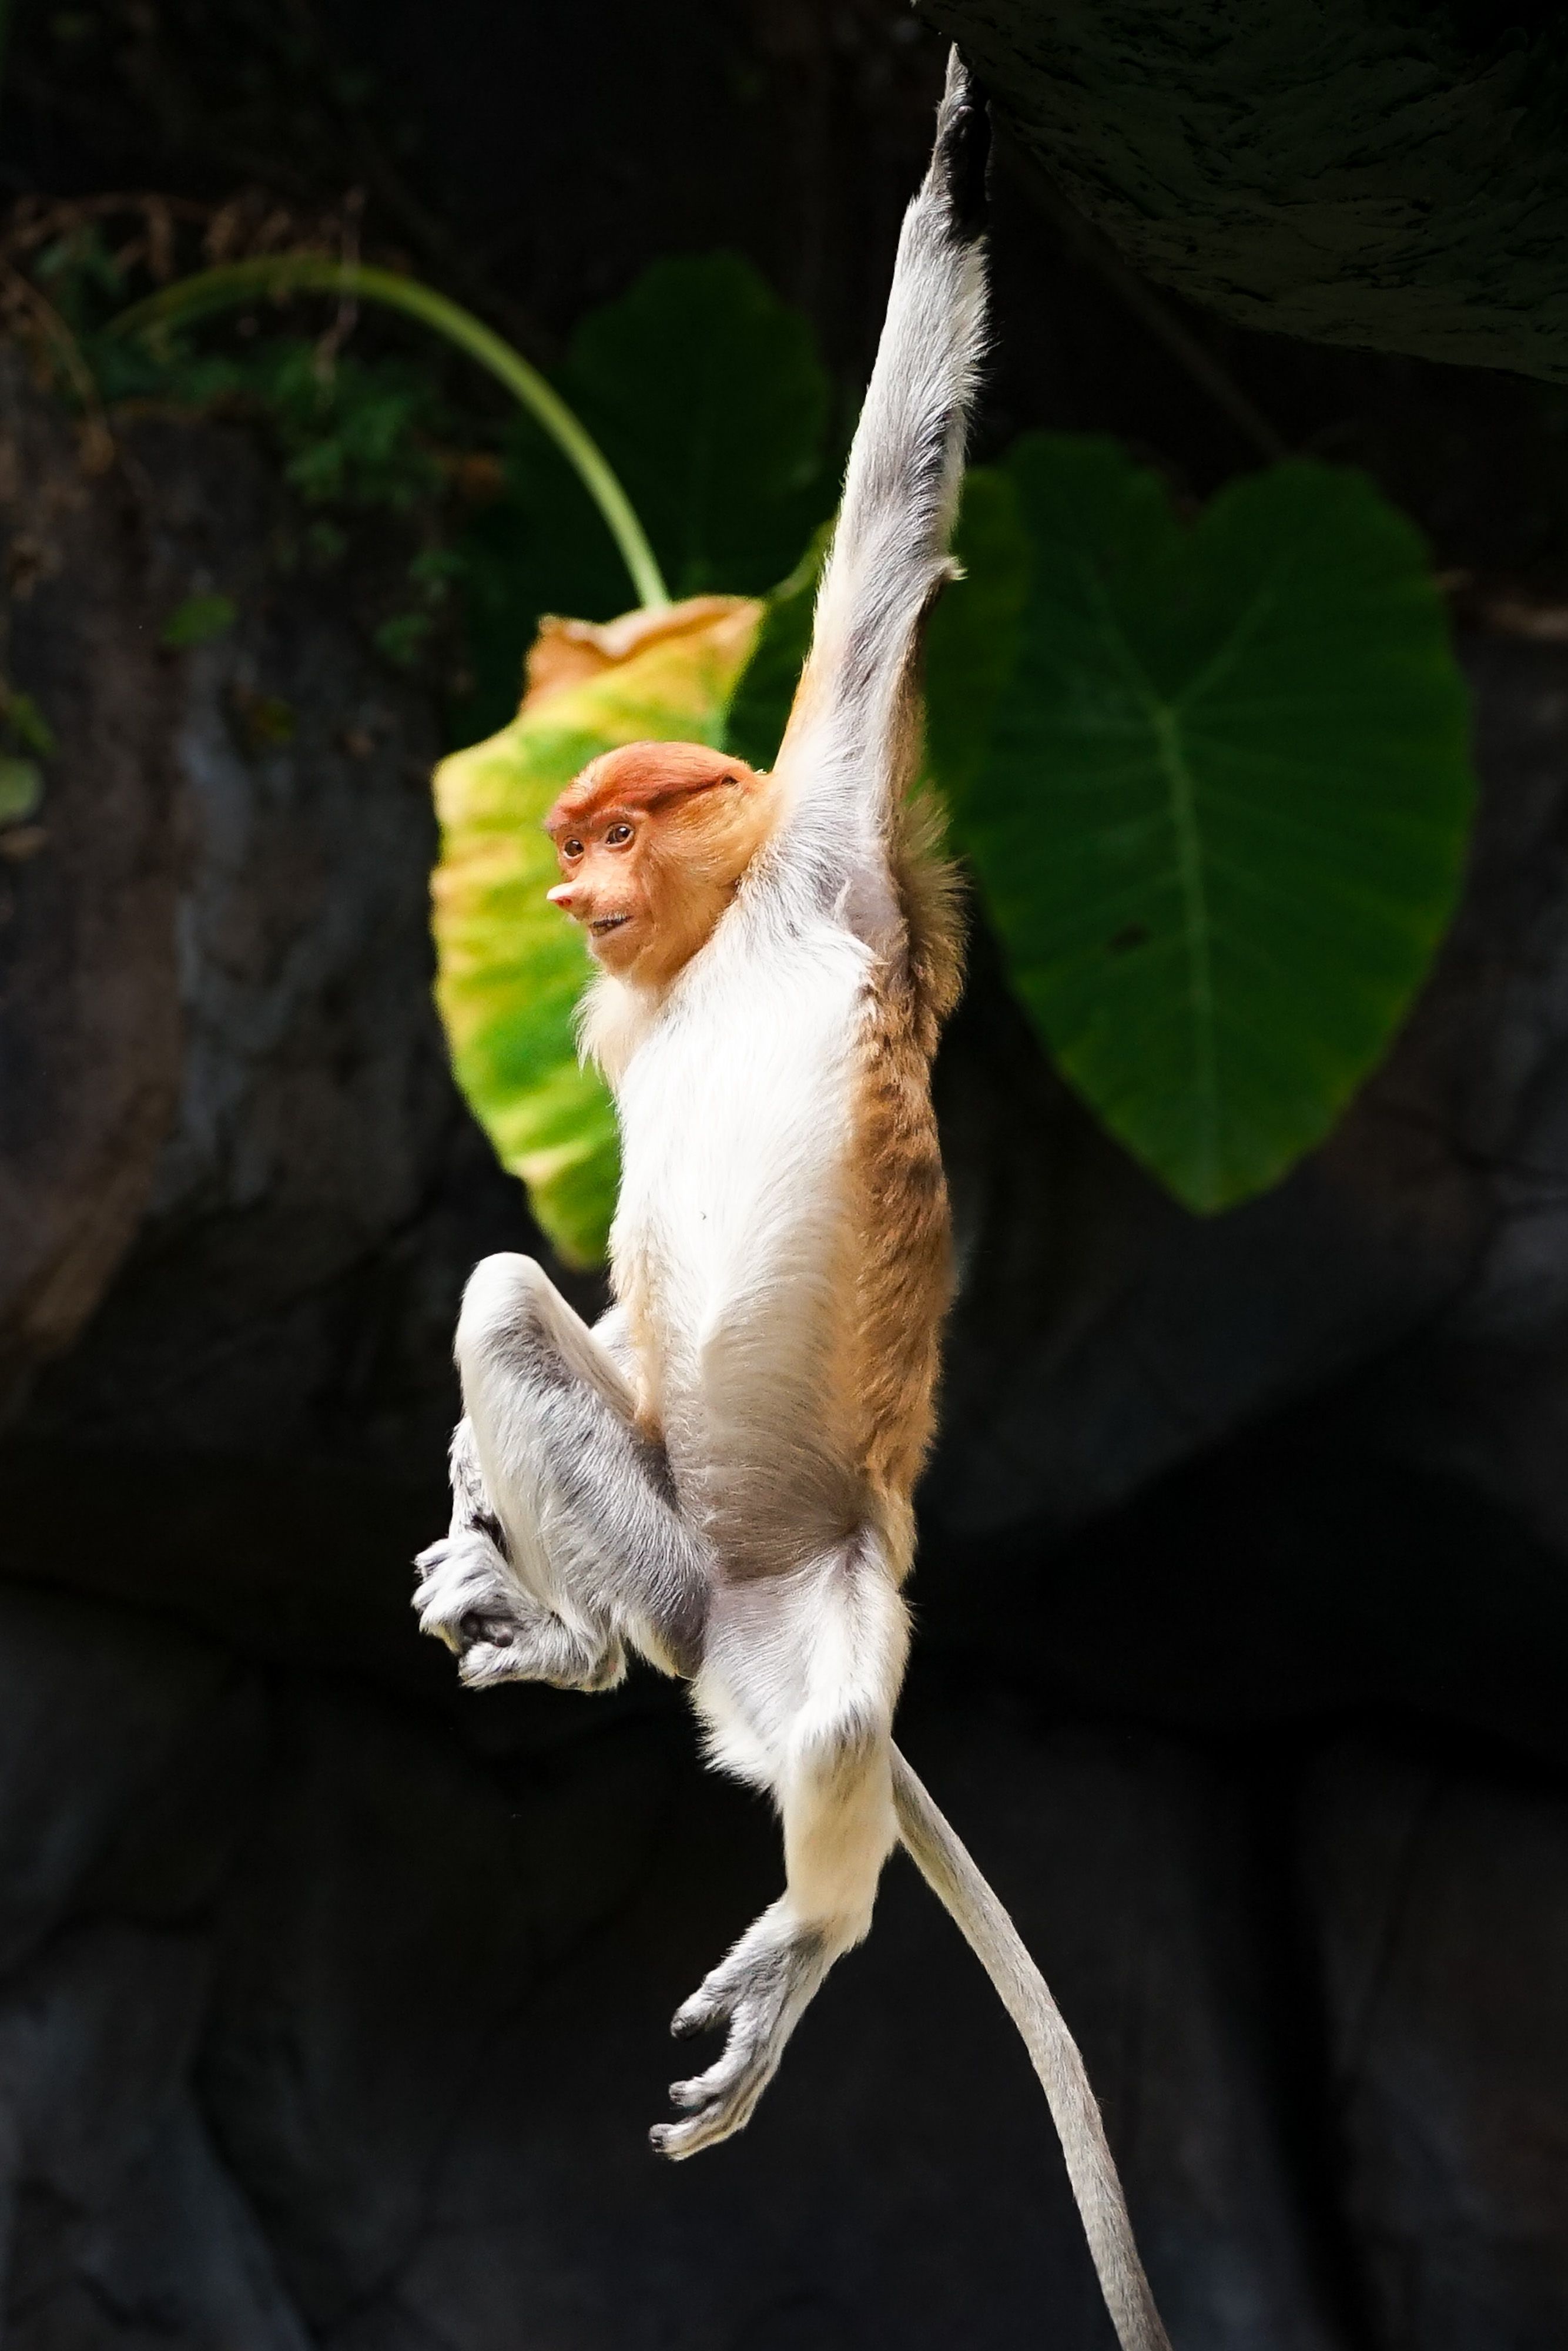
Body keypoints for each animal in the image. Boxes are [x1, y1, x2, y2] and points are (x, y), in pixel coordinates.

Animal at [413, 53, 1170, 2351]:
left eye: (606, 828)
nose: (566, 899)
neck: (725, 935)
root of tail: (710, 1583)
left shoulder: (831, 829)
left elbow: (889, 525)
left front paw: (954, 170)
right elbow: (570, 1290)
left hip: (802, 1588)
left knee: (825, 1706)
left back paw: (802, 1928)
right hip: (668, 1521)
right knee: (512, 1313)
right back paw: (570, 1637)